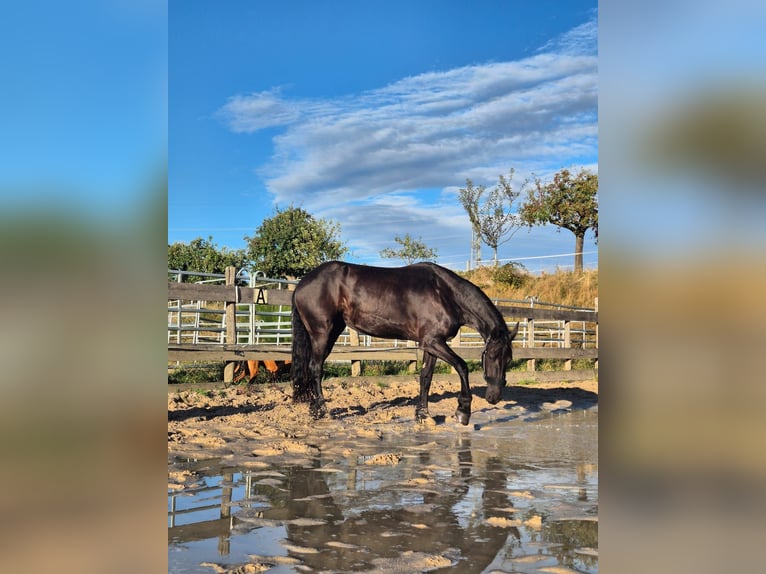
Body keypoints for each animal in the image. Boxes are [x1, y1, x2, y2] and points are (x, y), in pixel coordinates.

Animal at [292, 264, 520, 426]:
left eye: (509, 359)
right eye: (491, 356)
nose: (494, 397)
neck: (445, 293)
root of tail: (302, 284)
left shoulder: (431, 344)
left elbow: (426, 378)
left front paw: (423, 415)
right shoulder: (433, 342)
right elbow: (461, 366)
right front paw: (463, 411)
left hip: (331, 333)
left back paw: (314, 408)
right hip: (322, 333)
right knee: (315, 368)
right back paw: (322, 411)